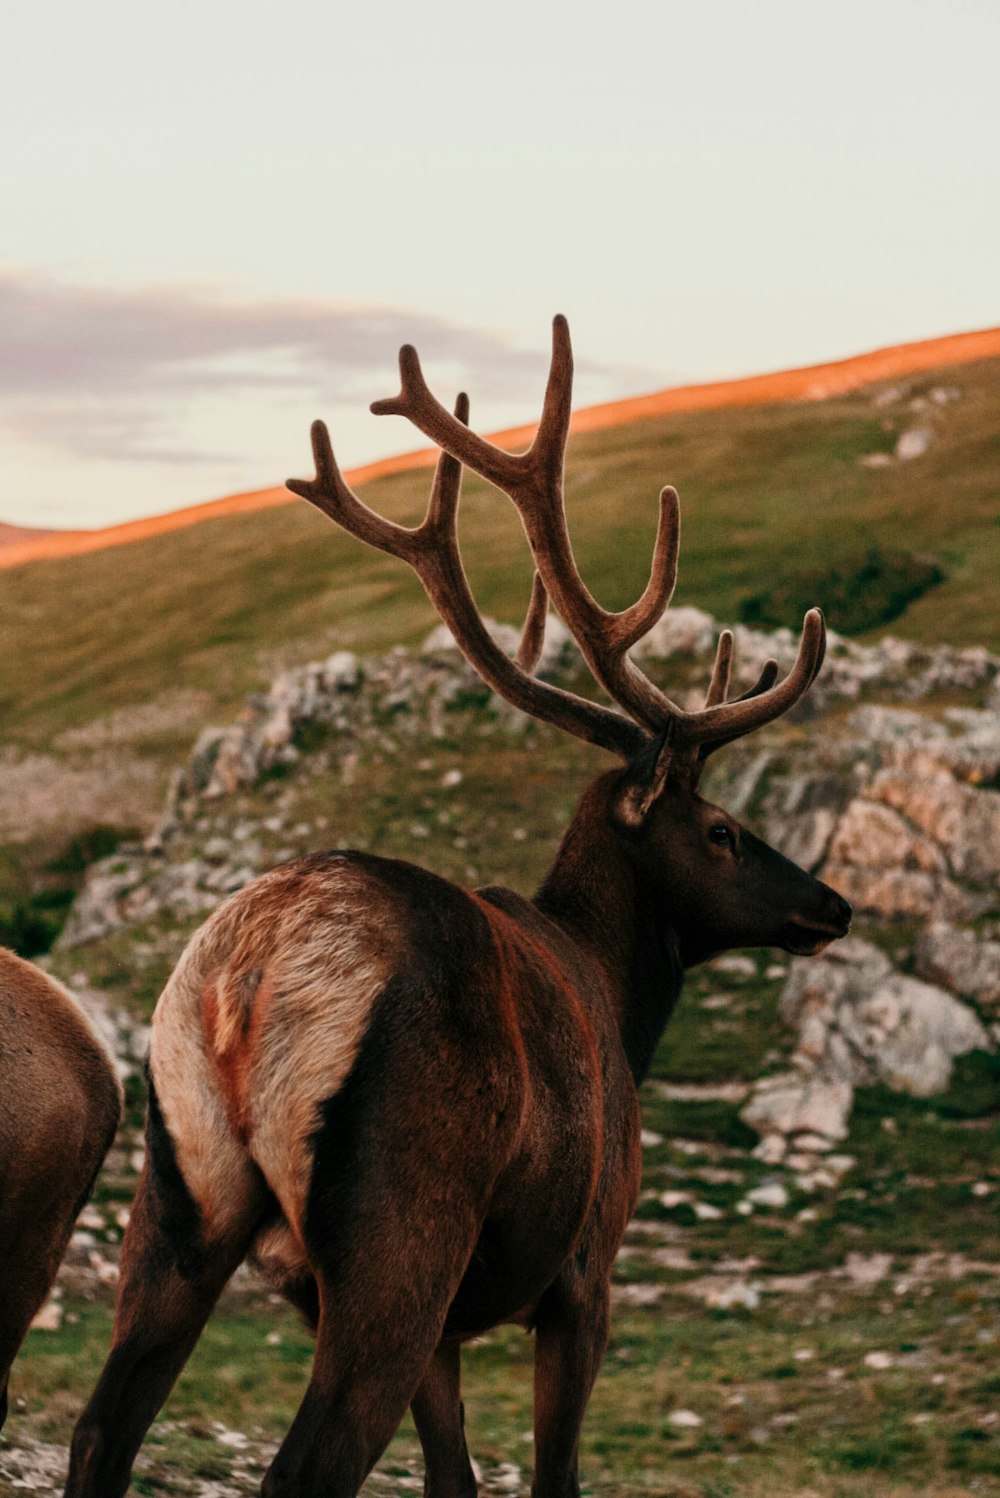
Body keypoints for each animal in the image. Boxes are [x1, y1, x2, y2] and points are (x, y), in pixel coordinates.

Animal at [66, 316, 850, 1498]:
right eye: (721, 830)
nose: (831, 904)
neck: (620, 999)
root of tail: (250, 977)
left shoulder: (448, 1330)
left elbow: (455, 1478)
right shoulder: (585, 1266)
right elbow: (551, 1474)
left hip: (176, 1192)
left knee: (100, 1428)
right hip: (403, 1226)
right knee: (304, 1465)